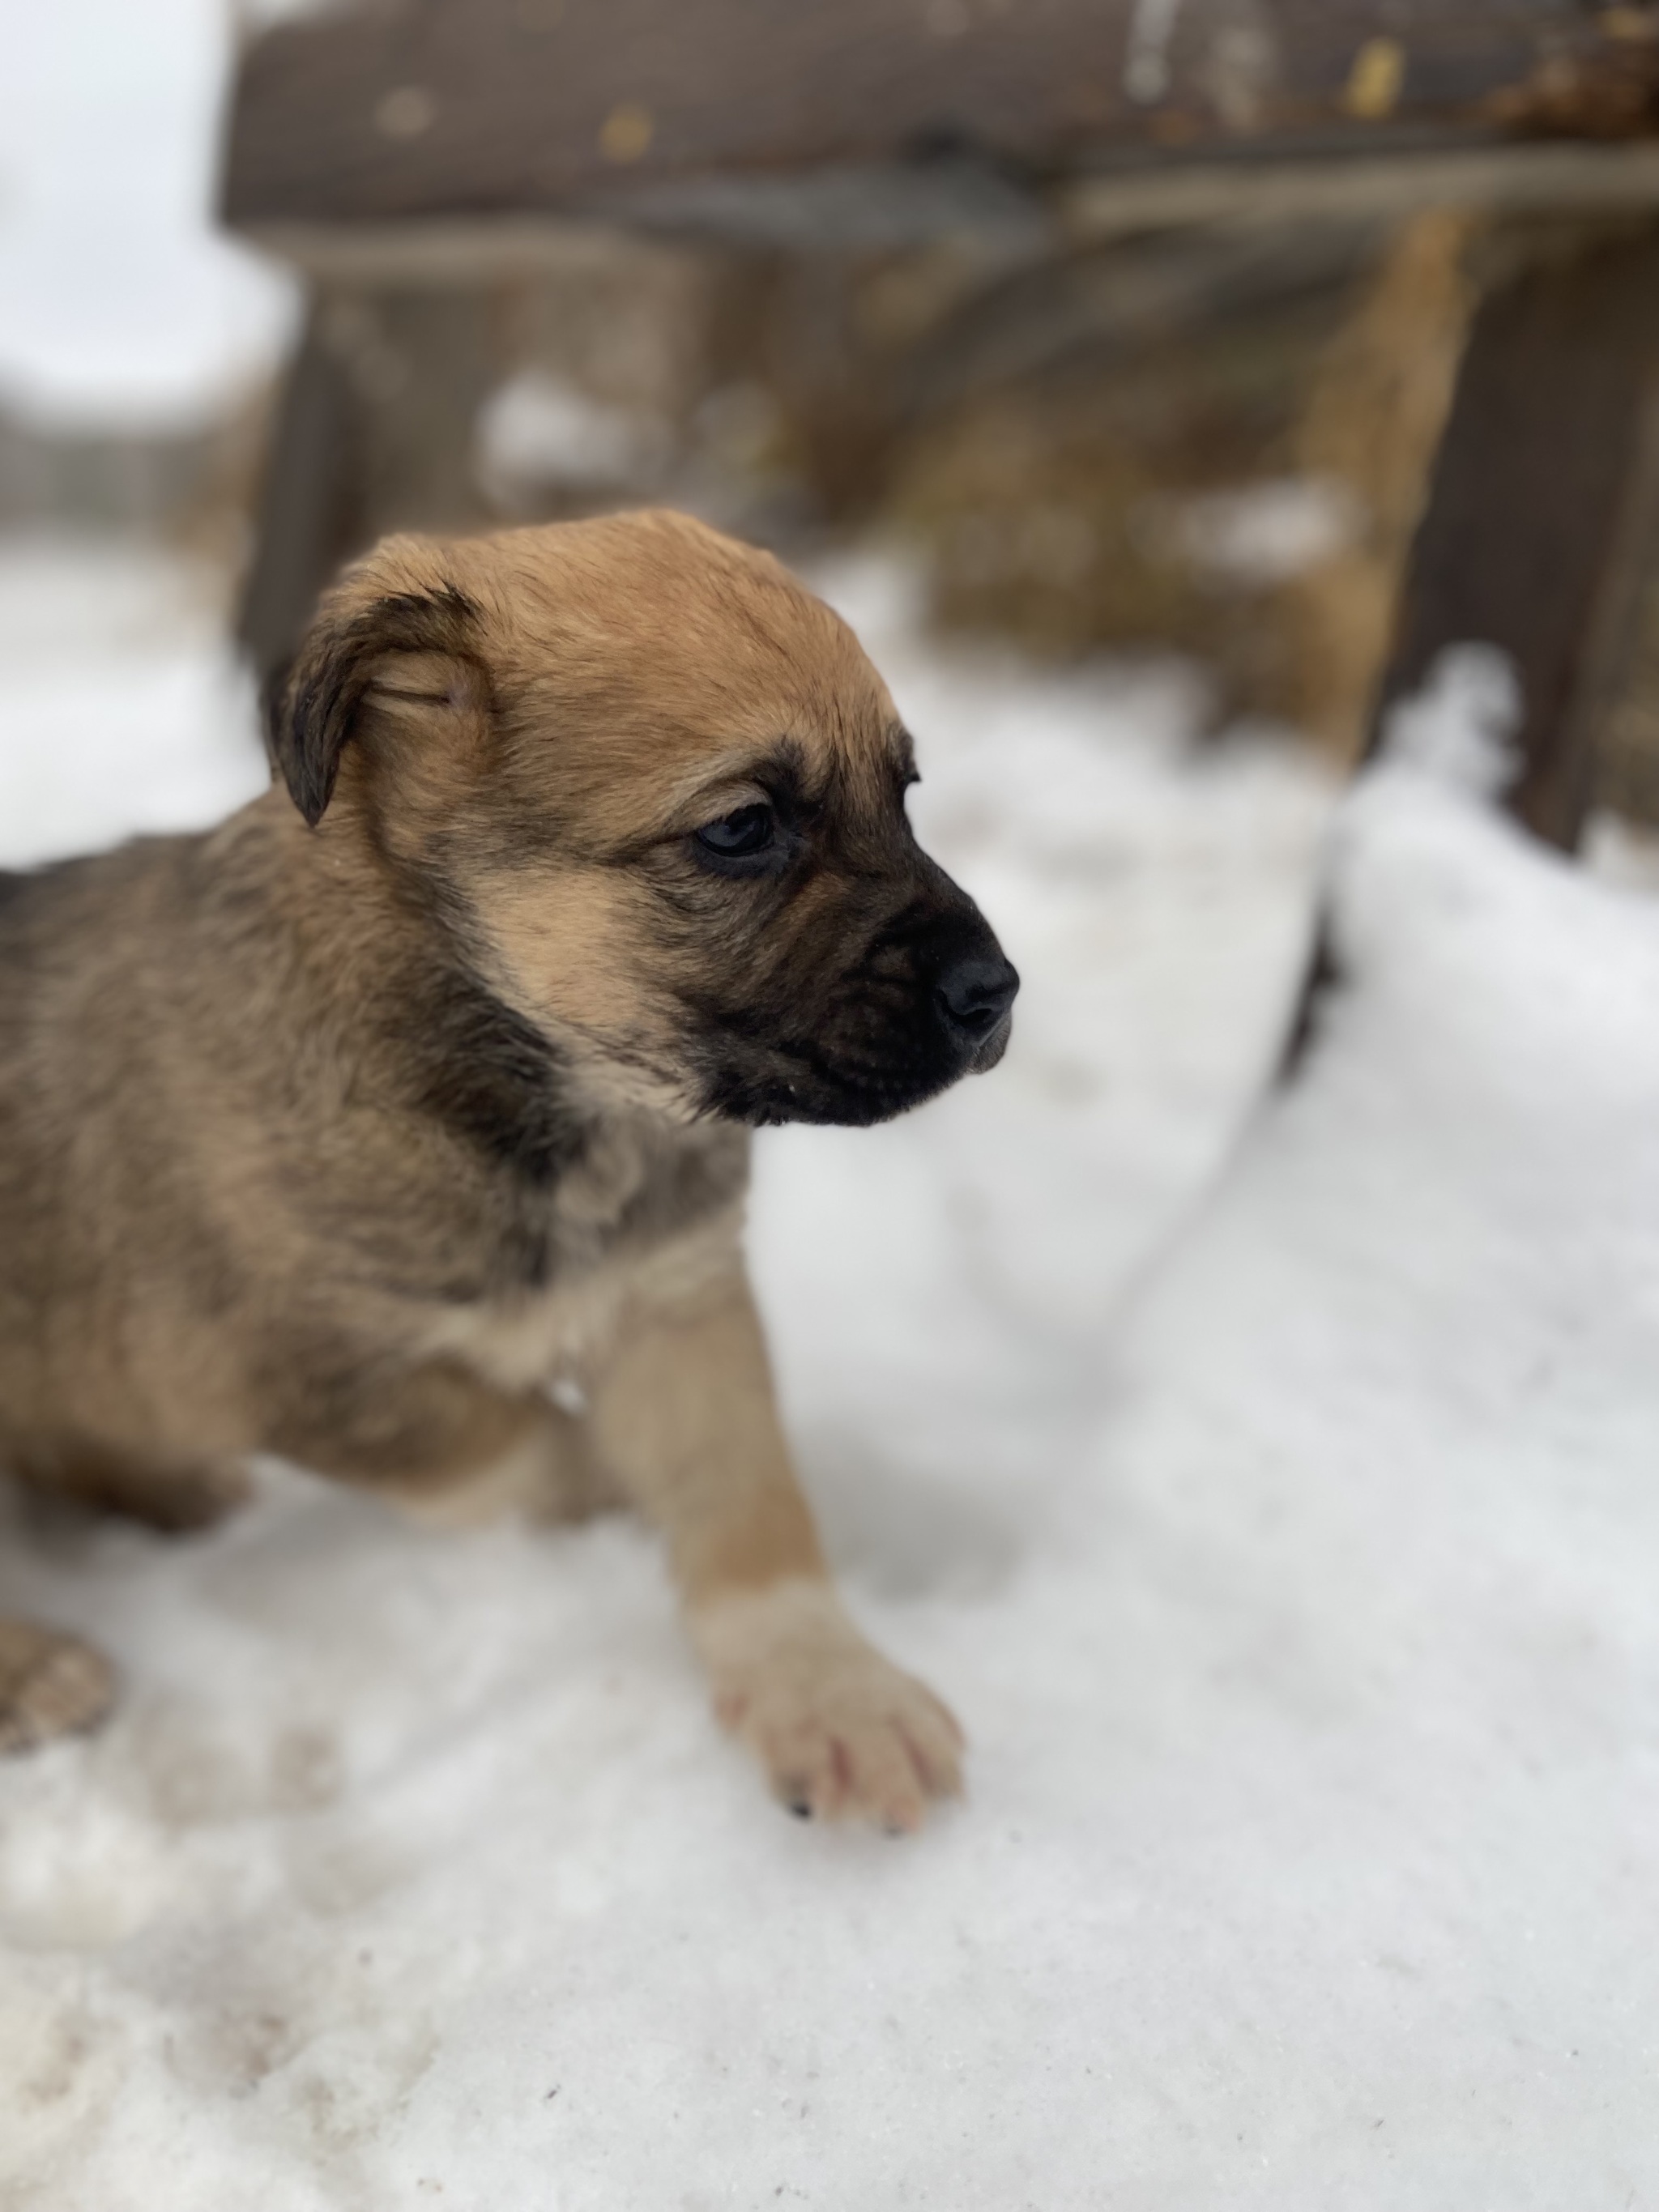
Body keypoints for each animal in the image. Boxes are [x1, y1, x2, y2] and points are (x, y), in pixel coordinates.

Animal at [0, 513, 1021, 1831]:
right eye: (742, 828)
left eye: (903, 795)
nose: (997, 993)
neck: (547, 1088)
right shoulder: (315, 1375)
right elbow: (534, 1440)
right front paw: (616, 1501)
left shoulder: (674, 1296)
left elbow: (742, 1491)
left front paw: (827, 1688)